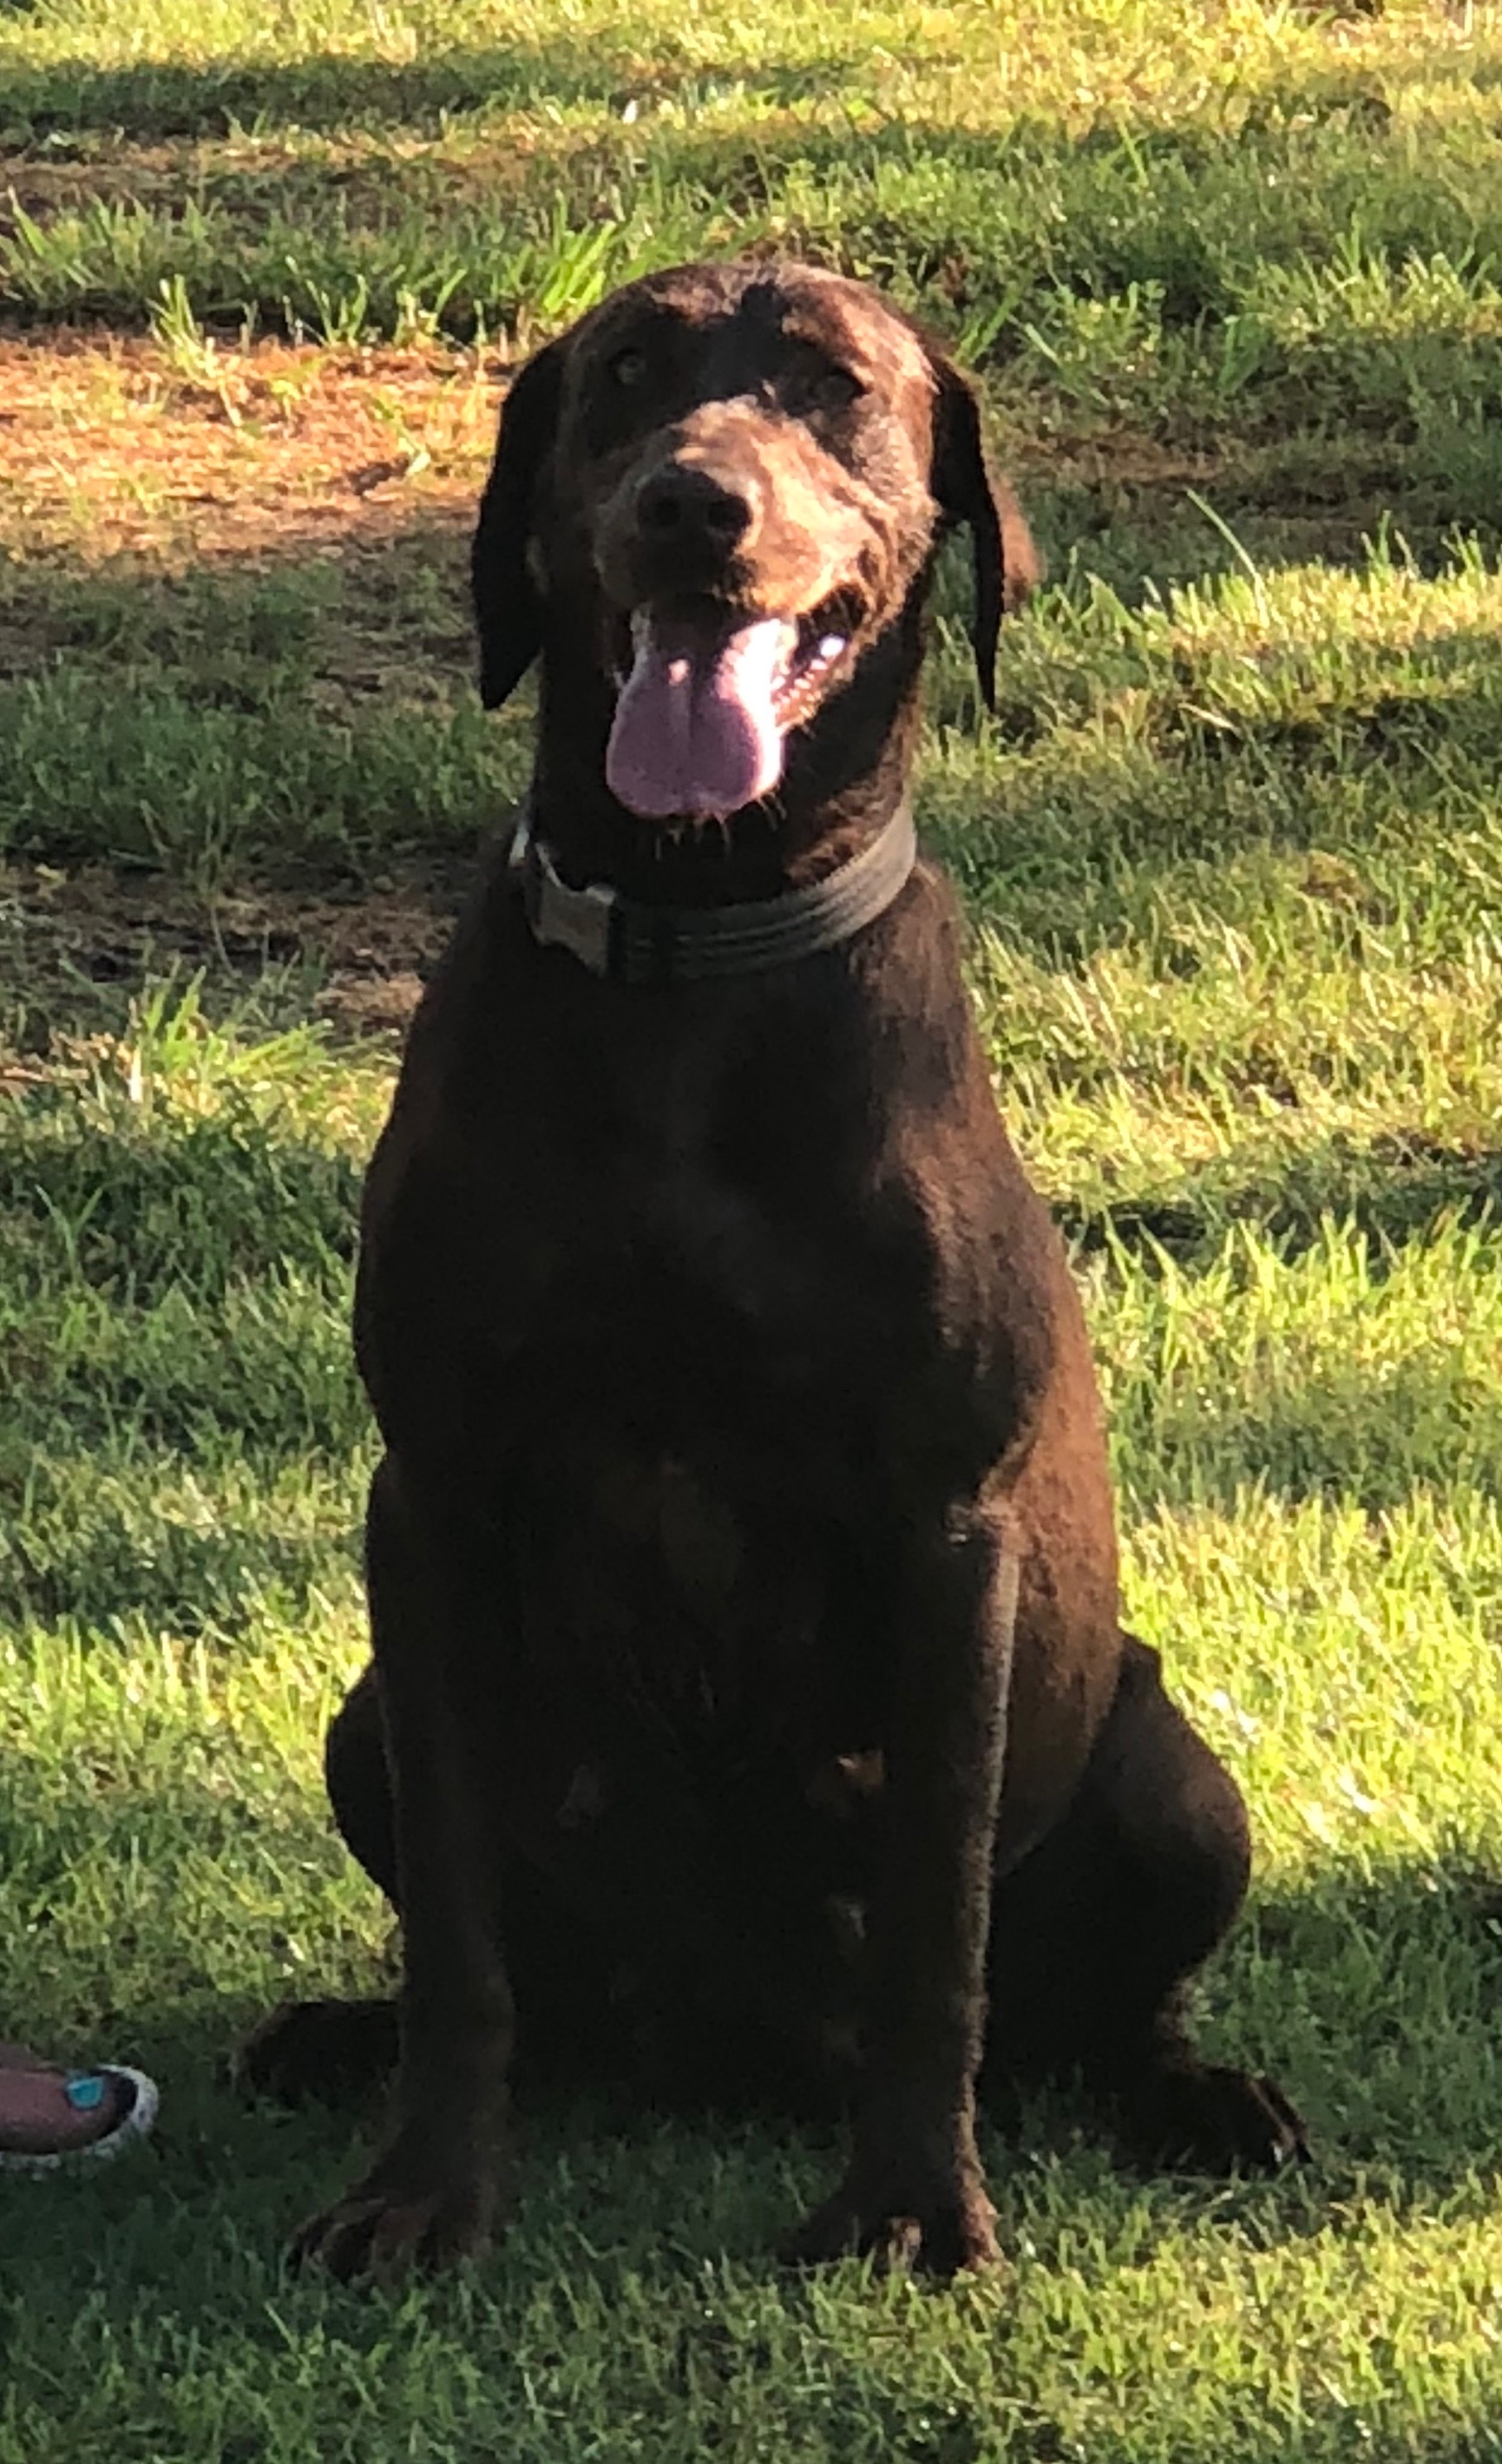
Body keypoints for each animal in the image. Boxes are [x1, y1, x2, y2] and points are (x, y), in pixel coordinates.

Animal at [242, 250, 1300, 2266]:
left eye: (829, 384)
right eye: (624, 378)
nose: (691, 506)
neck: (692, 932)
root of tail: (719, 2051)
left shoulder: (946, 1528)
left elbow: (934, 1927)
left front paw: (908, 2203)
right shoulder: (433, 1496)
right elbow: (460, 1939)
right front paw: (426, 2190)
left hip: (1175, 1776)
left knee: (1104, 2001)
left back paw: (1199, 2094)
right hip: (361, 1722)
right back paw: (337, 2036)